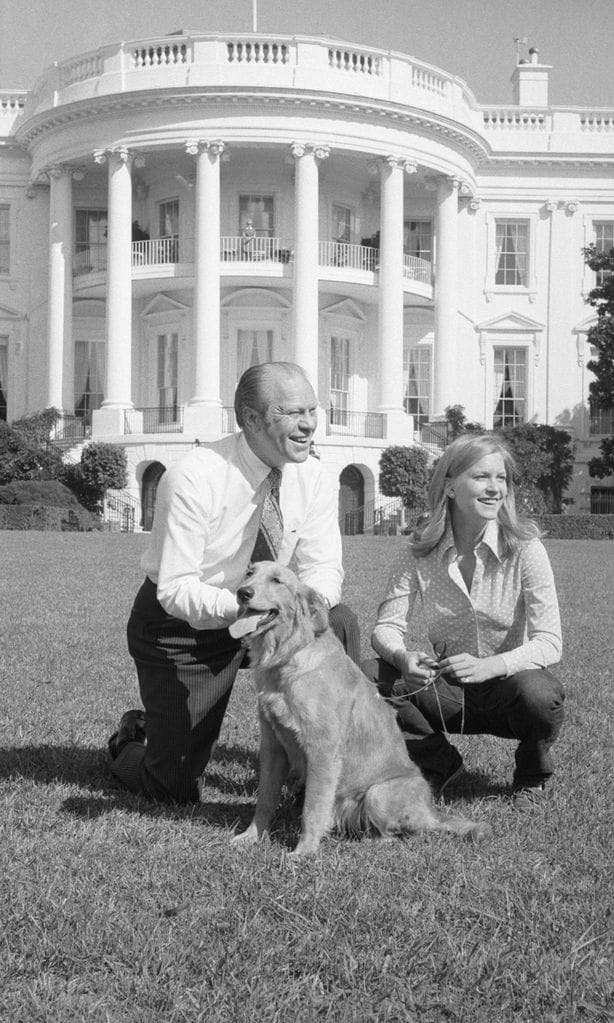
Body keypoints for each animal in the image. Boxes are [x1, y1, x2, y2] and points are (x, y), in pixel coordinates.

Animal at [228, 560, 491, 855]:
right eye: (250, 572)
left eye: (276, 580)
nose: (243, 592)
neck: (288, 657)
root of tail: (431, 812)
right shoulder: (273, 746)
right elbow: (265, 800)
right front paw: (251, 836)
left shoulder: (322, 750)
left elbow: (312, 808)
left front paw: (304, 851)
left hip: (378, 794)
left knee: (402, 833)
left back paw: (372, 840)